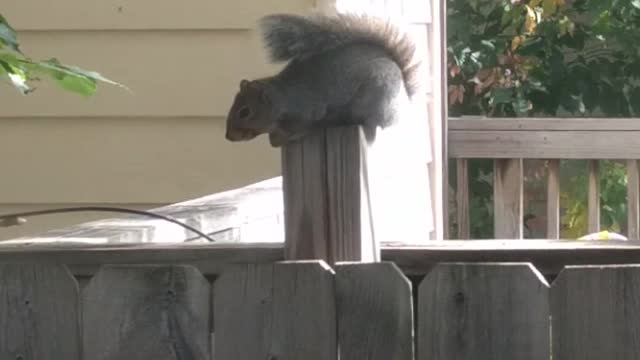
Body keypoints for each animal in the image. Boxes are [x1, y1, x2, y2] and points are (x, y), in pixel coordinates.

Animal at [222, 11, 422, 146]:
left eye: (245, 112)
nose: (228, 136)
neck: (282, 98)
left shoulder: (308, 110)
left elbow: (302, 128)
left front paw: (278, 138)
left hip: (378, 95)